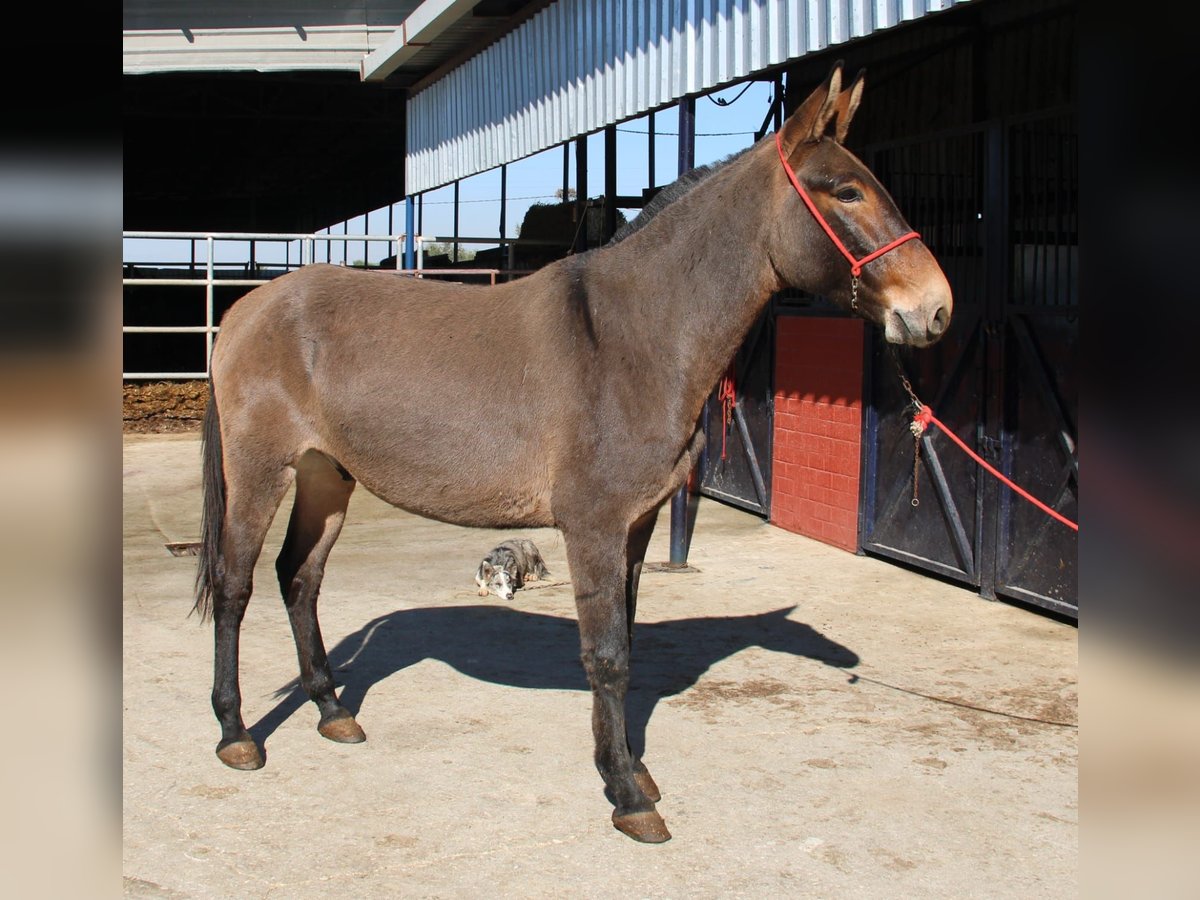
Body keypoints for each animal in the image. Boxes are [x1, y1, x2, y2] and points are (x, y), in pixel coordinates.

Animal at [193, 61, 952, 843]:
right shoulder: (593, 526)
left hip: (326, 476)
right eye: (846, 191)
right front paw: (627, 794)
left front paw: (633, 770)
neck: (631, 337)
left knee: (299, 578)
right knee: (235, 584)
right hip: (259, 472)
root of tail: (245, 309)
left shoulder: (637, 525)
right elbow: (607, 655)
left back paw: (332, 710)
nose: (935, 309)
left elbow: (626, 643)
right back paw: (237, 734)